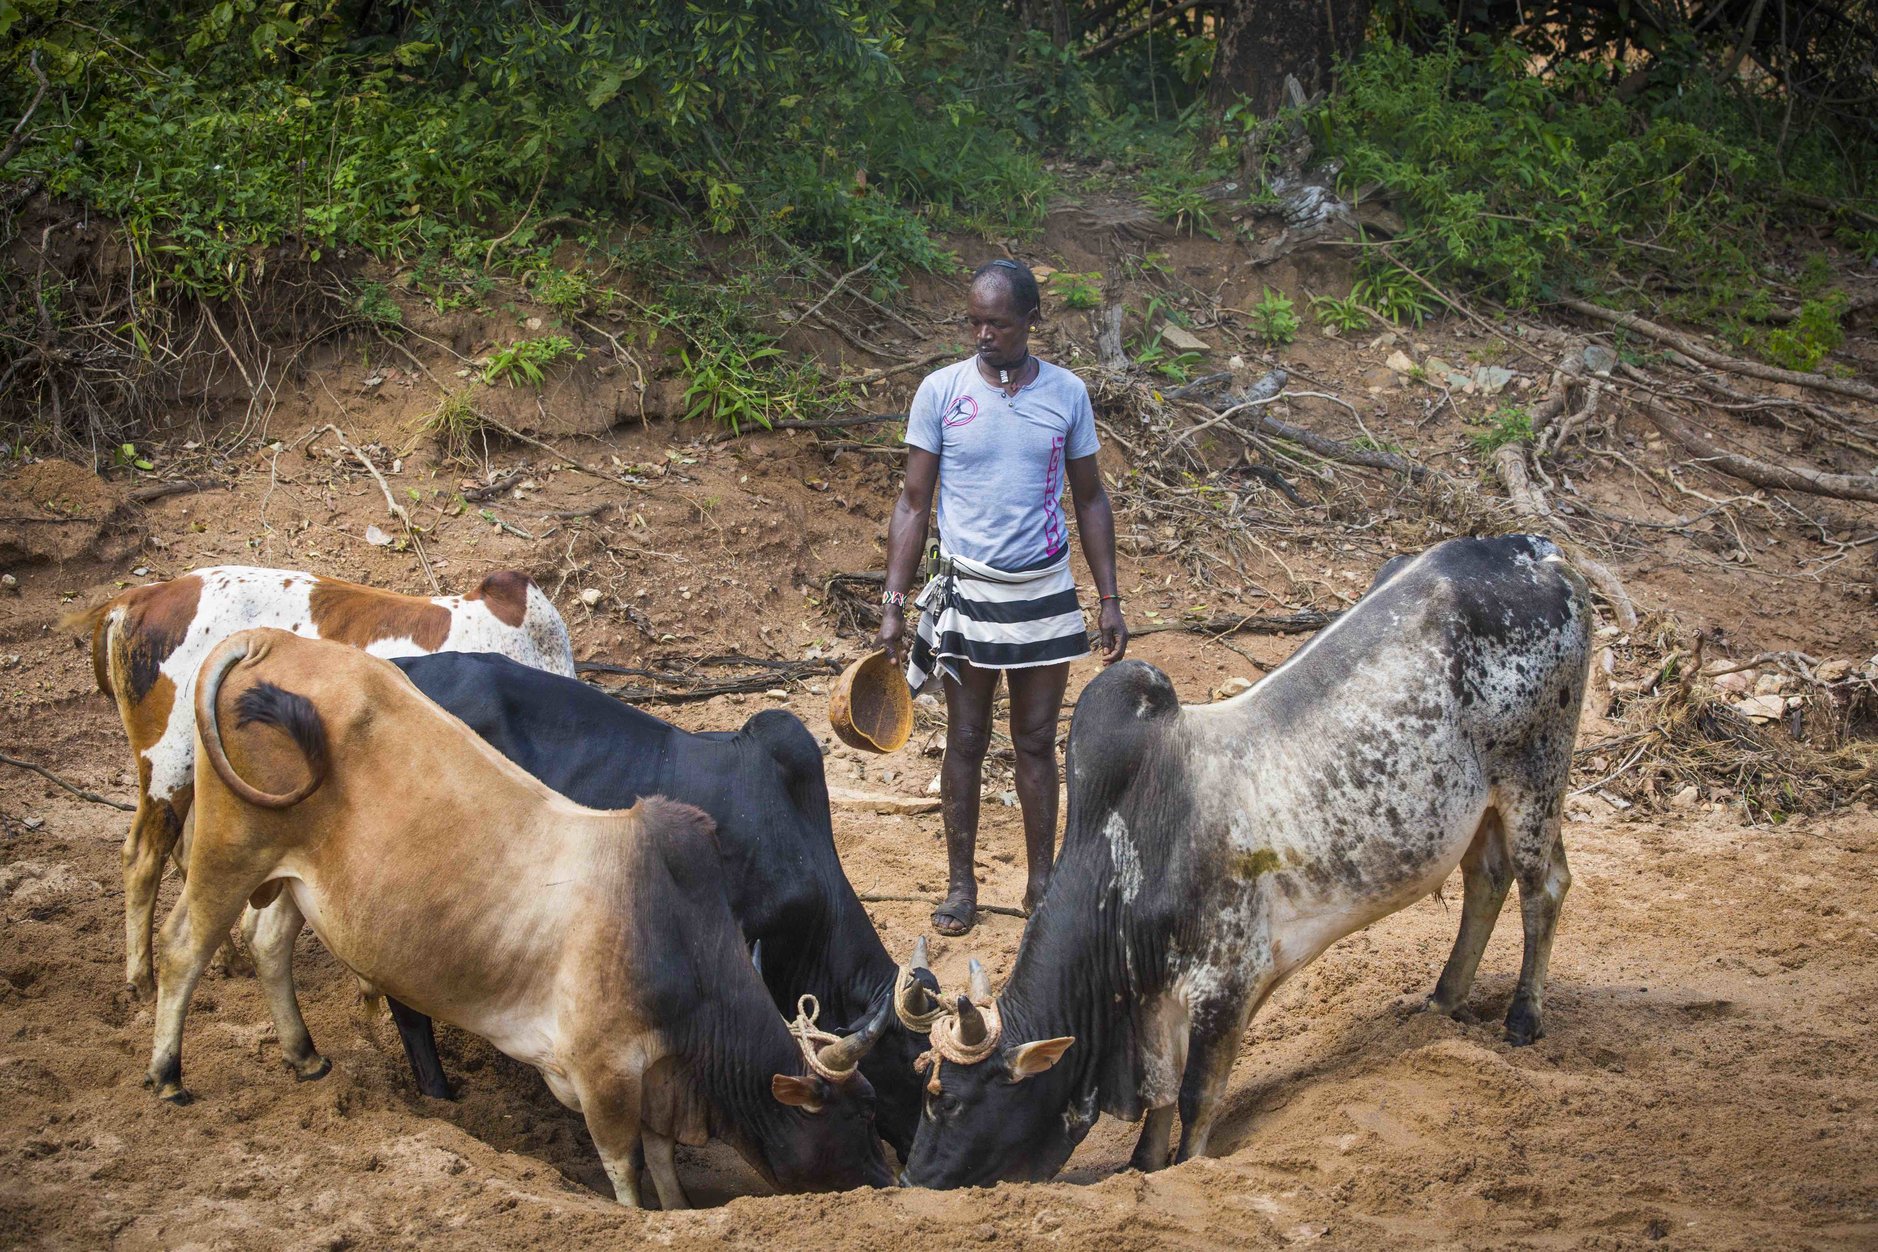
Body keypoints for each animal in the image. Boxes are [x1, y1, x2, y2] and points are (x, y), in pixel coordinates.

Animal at [66, 566, 570, 998]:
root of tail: (137, 597)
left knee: (187, 855)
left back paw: (227, 959)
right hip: (167, 761)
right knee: (143, 857)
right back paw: (142, 979)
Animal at [901, 533, 1592, 1193]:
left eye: (946, 1100)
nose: (910, 1179)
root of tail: (1540, 552)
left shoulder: (1226, 988)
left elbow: (1195, 1098)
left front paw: (1185, 1165)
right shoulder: (1157, 1007)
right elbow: (1160, 1100)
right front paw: (1142, 1166)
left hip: (1536, 777)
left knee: (1544, 887)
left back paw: (1523, 1018)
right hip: (1481, 809)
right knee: (1487, 881)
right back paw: (1443, 1001)